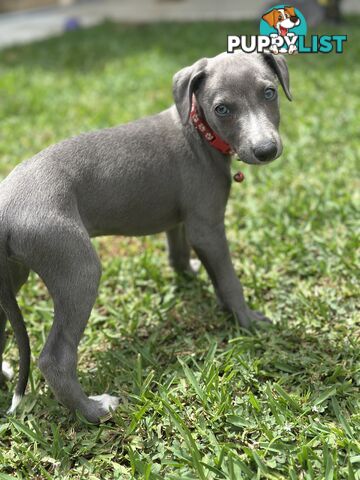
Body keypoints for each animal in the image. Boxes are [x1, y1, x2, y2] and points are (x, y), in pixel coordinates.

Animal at [0, 50, 292, 422]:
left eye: (269, 92)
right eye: (222, 109)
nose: (265, 149)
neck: (198, 132)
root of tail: (5, 208)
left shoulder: (181, 219)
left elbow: (178, 254)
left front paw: (193, 276)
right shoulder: (207, 226)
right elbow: (229, 279)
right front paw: (247, 320)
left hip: (11, 276)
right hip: (75, 267)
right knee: (55, 357)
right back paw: (95, 410)